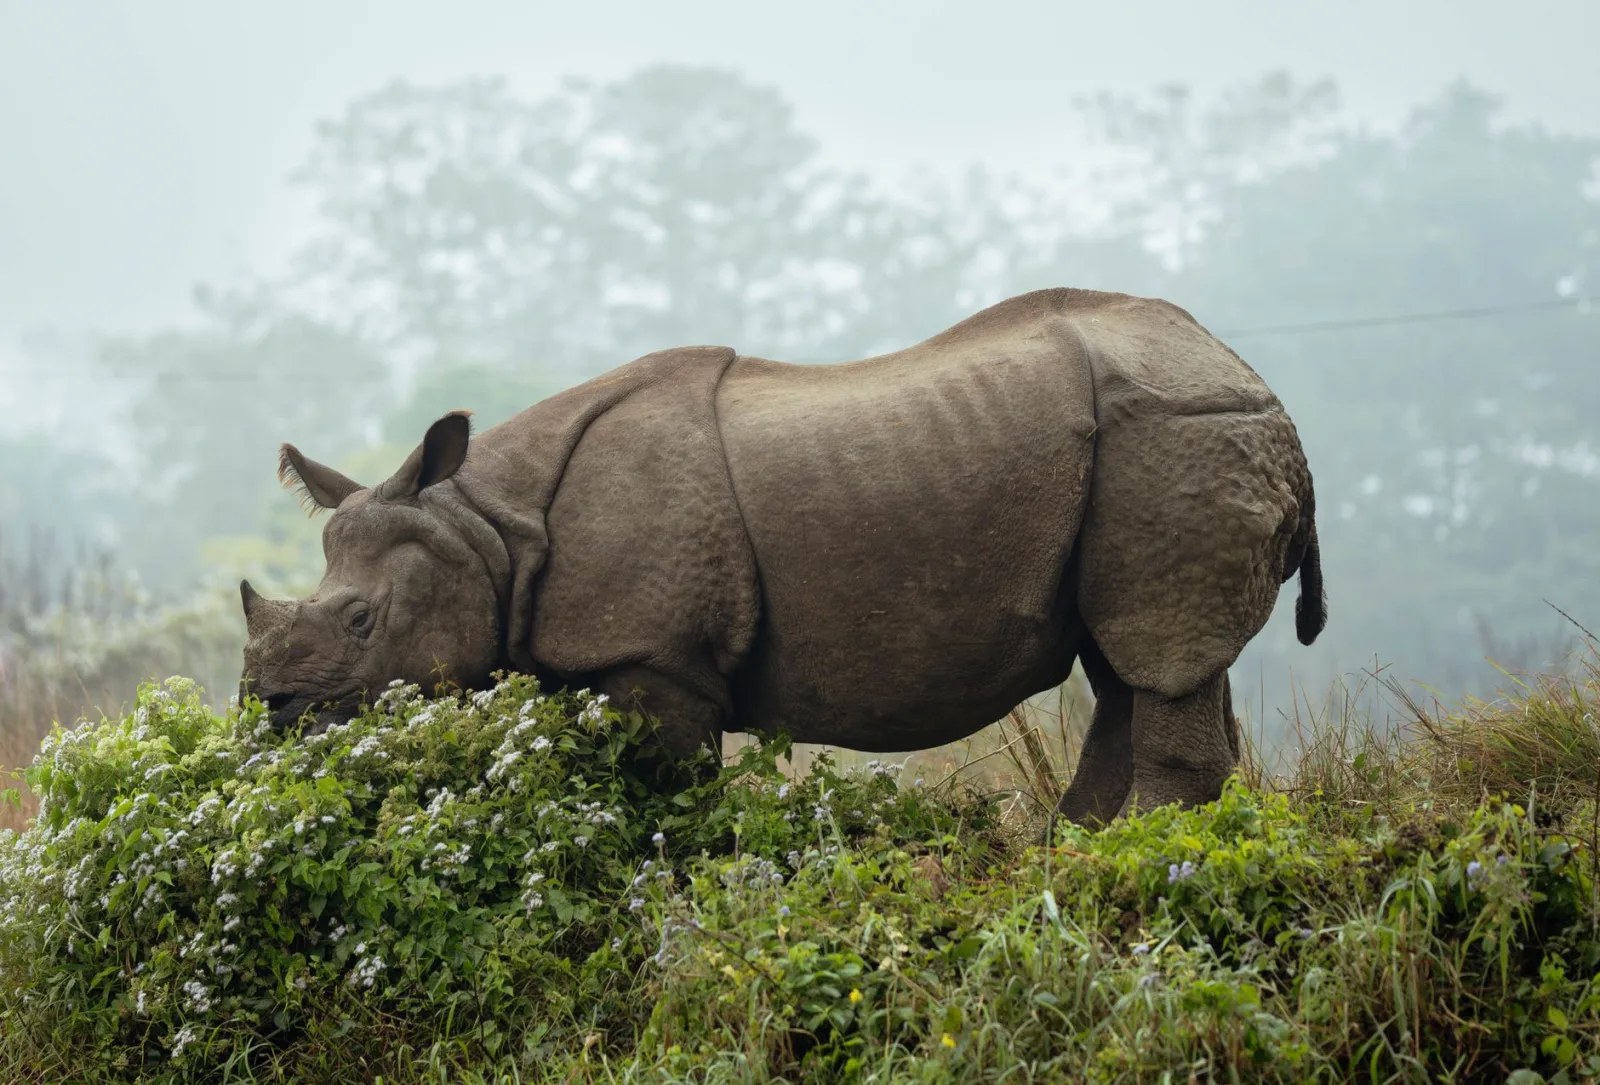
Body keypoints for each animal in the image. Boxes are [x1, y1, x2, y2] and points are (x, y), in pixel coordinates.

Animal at [239, 287, 1326, 822]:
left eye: (361, 620)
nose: (268, 709)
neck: (486, 524)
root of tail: (1261, 385)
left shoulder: (655, 653)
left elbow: (665, 799)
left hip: (1178, 435)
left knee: (1156, 657)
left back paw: (1142, 862)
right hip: (1152, 452)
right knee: (1125, 665)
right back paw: (1079, 851)